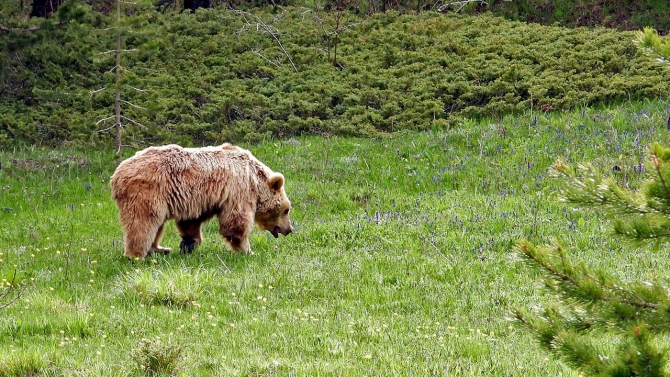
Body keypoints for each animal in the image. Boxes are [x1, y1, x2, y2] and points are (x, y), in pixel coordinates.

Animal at [109, 142, 292, 258]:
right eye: (286, 210)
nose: (289, 229)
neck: (254, 179)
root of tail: (116, 175)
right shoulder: (238, 190)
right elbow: (236, 223)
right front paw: (249, 251)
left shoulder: (197, 199)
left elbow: (190, 222)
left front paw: (188, 244)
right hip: (146, 192)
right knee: (143, 223)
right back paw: (136, 255)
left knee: (156, 225)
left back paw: (160, 248)